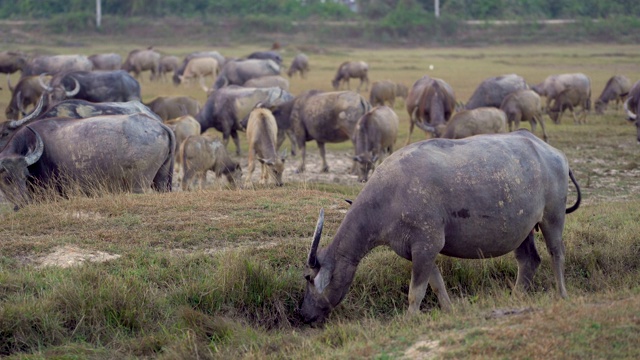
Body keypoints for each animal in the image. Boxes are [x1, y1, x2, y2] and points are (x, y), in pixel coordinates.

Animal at [0, 113, 174, 211]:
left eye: (24, 176)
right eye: (6, 179)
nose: (23, 203)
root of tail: (160, 125)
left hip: (139, 184)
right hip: (161, 181)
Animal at [300, 130, 580, 326]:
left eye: (309, 279)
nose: (302, 313)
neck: (389, 198)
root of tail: (554, 153)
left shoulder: (427, 245)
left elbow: (416, 292)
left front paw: (409, 319)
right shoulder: (420, 252)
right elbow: (436, 285)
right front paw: (449, 310)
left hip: (552, 217)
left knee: (557, 254)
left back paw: (562, 294)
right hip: (524, 230)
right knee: (529, 260)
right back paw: (515, 298)